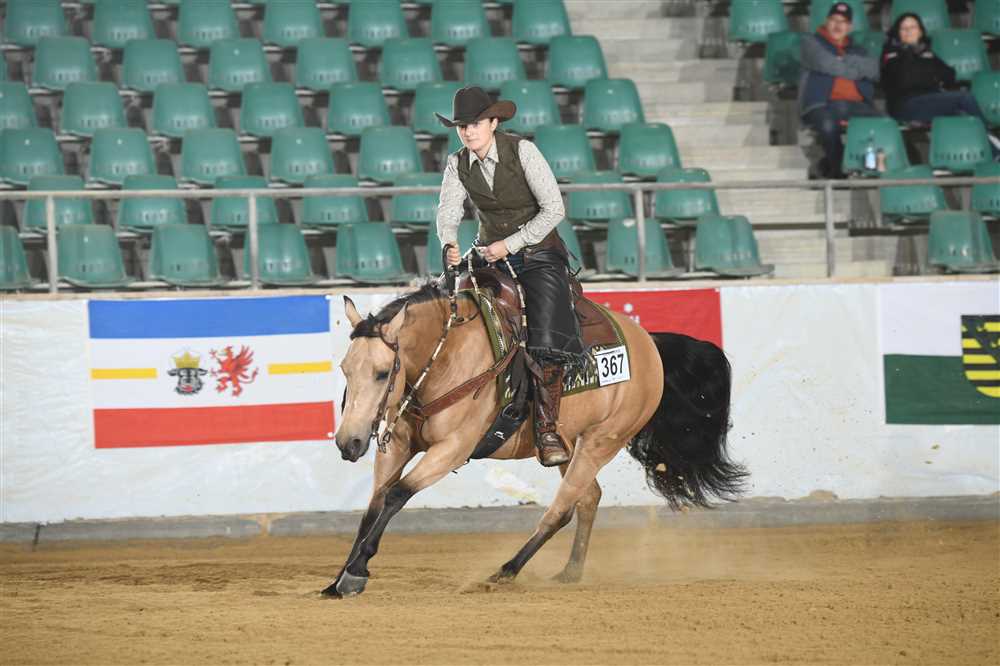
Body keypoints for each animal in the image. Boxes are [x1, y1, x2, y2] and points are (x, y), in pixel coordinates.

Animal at [323, 276, 746, 597]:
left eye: (382, 372)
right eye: (345, 368)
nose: (348, 442)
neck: (448, 358)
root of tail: (649, 344)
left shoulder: (452, 449)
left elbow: (396, 495)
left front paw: (357, 571)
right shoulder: (397, 446)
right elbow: (374, 506)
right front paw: (339, 578)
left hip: (602, 440)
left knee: (561, 509)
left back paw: (505, 572)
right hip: (567, 443)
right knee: (588, 499)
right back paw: (570, 572)